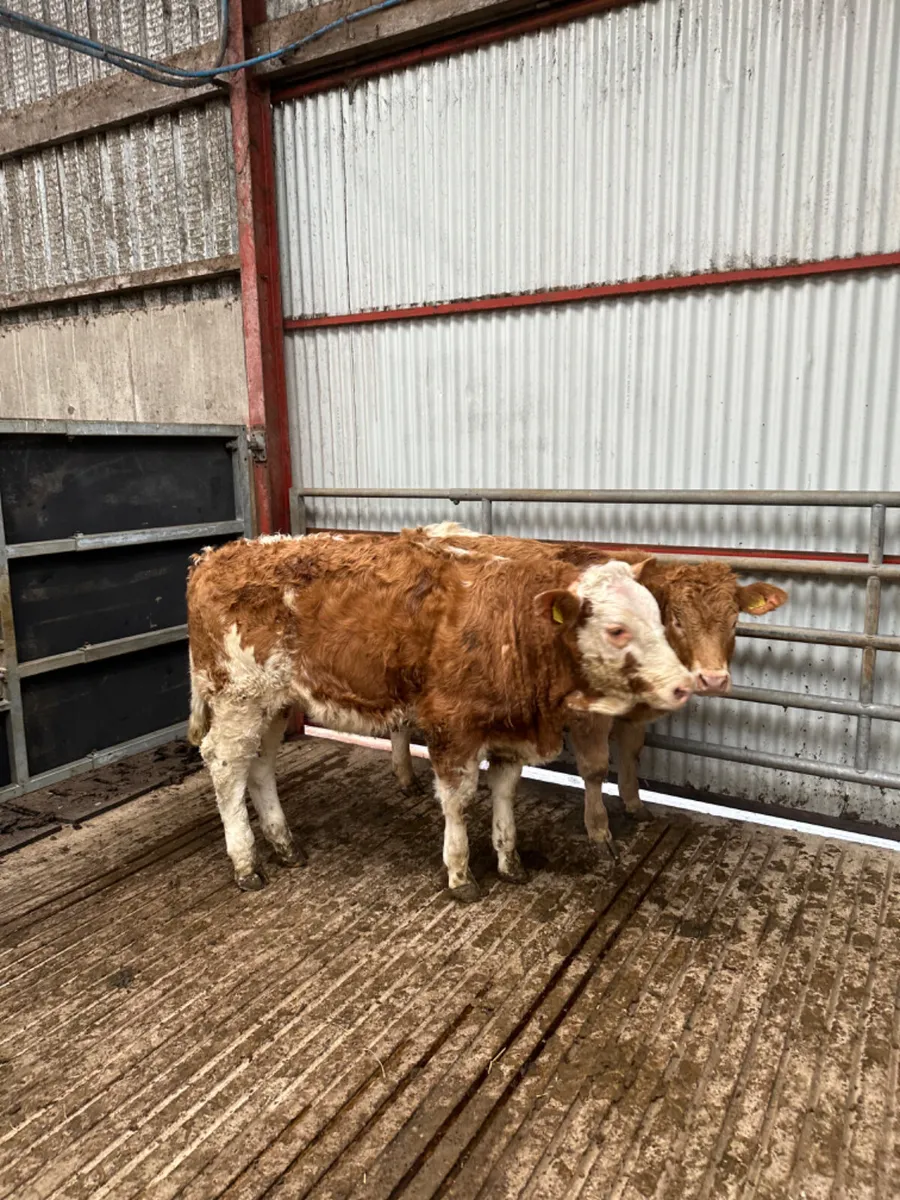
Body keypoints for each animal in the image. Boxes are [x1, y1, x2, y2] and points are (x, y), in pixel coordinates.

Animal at [186, 532, 694, 900]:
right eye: (616, 630)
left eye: (658, 617)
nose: (682, 683)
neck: (511, 626)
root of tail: (218, 555)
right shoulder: (452, 726)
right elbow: (459, 800)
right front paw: (460, 873)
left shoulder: (509, 730)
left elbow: (505, 792)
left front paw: (510, 862)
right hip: (238, 697)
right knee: (226, 765)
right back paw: (246, 863)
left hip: (273, 702)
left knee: (260, 765)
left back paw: (284, 844)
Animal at [389, 523, 788, 858]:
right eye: (675, 619)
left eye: (734, 621)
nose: (713, 679)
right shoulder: (586, 714)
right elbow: (595, 769)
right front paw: (599, 829)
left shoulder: (633, 716)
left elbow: (631, 754)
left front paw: (634, 803)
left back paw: (406, 777)